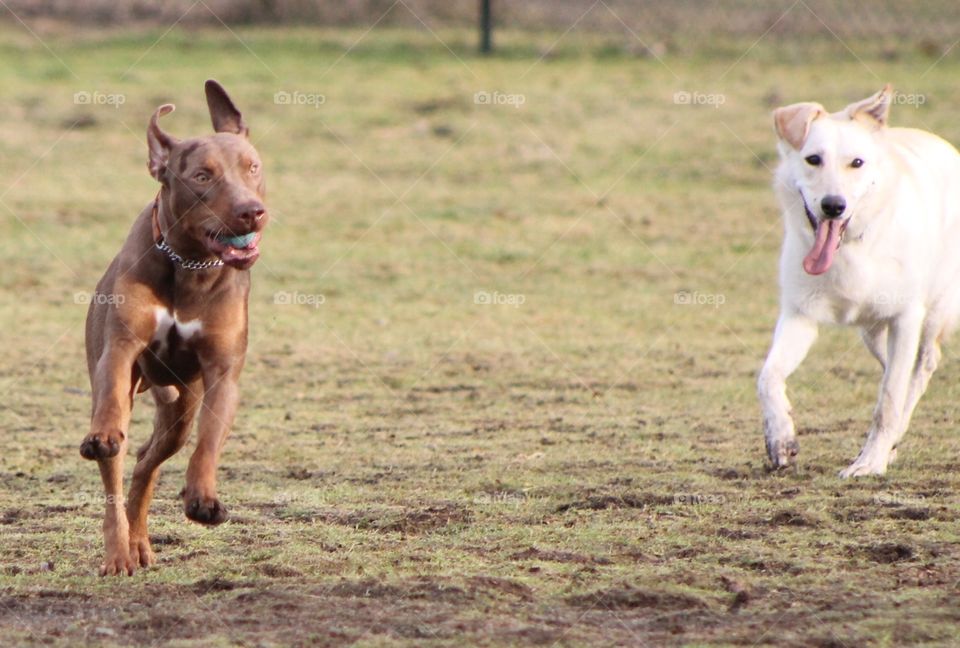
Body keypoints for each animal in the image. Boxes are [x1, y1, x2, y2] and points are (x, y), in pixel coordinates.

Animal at [81, 82, 268, 576]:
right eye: (202, 177)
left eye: (253, 167)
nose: (252, 212)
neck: (188, 265)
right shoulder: (121, 346)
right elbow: (112, 396)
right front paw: (104, 434)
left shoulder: (221, 371)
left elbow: (209, 441)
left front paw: (203, 498)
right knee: (119, 468)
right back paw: (119, 551)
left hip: (180, 406)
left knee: (148, 461)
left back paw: (139, 540)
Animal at [756, 85, 960, 476]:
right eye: (813, 159)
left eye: (857, 163)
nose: (833, 206)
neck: (851, 248)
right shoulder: (800, 316)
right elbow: (768, 377)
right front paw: (781, 439)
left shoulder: (906, 318)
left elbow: (890, 399)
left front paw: (869, 463)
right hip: (873, 333)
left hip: (932, 315)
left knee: (922, 366)